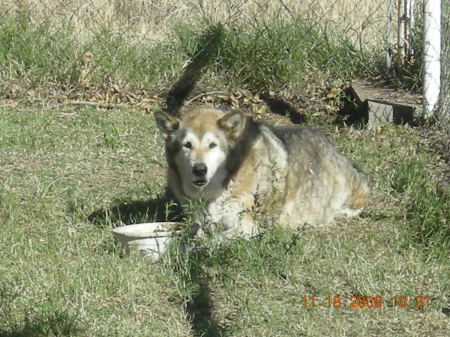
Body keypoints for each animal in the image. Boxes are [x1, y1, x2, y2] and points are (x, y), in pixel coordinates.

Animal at [155, 106, 370, 240]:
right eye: (187, 145)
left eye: (213, 145)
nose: (200, 169)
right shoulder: (197, 220)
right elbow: (197, 231)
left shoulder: (247, 226)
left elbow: (213, 239)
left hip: (349, 185)